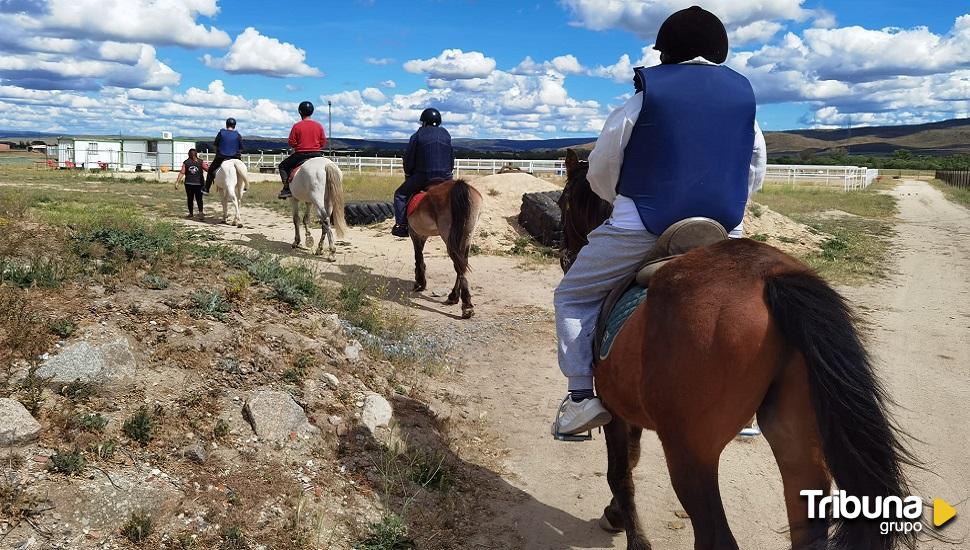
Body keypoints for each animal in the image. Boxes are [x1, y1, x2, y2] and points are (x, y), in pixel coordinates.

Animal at [404, 180, 480, 320]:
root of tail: (458, 185)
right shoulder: (422, 234)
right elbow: (420, 256)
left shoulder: (415, 233)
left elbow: (418, 255)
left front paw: (420, 282)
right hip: (467, 236)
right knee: (462, 265)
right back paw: (455, 297)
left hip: (449, 237)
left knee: (458, 266)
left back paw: (465, 305)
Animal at [556, 148, 912, 550]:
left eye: (563, 200)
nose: (565, 255)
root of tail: (770, 277)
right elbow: (629, 463)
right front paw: (615, 515)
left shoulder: (616, 410)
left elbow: (620, 471)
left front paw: (630, 532)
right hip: (798, 441)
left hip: (691, 454)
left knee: (715, 536)